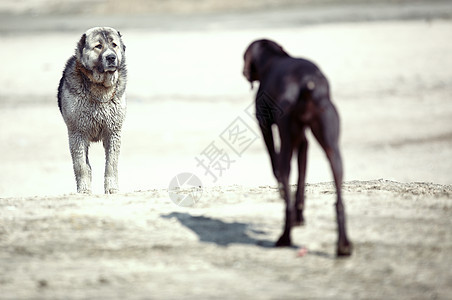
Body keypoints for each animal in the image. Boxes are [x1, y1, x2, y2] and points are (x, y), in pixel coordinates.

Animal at [57, 27, 127, 193]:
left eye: (114, 45)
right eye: (98, 46)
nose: (111, 57)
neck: (100, 88)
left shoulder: (113, 132)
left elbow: (111, 165)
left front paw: (111, 189)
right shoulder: (77, 134)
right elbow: (81, 166)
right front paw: (84, 190)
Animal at [244, 39, 354, 255]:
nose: (243, 72)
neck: (273, 59)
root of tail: (306, 83)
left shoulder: (264, 125)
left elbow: (275, 165)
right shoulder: (304, 141)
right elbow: (302, 178)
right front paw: (300, 216)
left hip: (287, 139)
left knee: (284, 173)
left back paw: (284, 237)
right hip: (332, 148)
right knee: (338, 199)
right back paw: (343, 245)